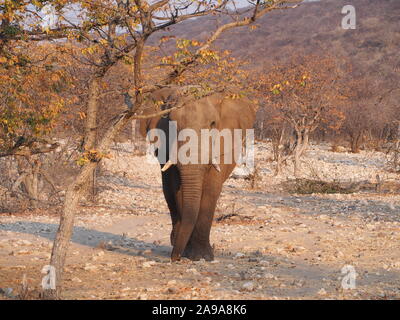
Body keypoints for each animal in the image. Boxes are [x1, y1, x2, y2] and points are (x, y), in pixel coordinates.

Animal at [140, 86, 256, 262]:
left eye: (213, 124)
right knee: (168, 192)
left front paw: (202, 256)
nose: (175, 258)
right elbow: (178, 189)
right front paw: (188, 253)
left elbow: (211, 189)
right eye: (172, 125)